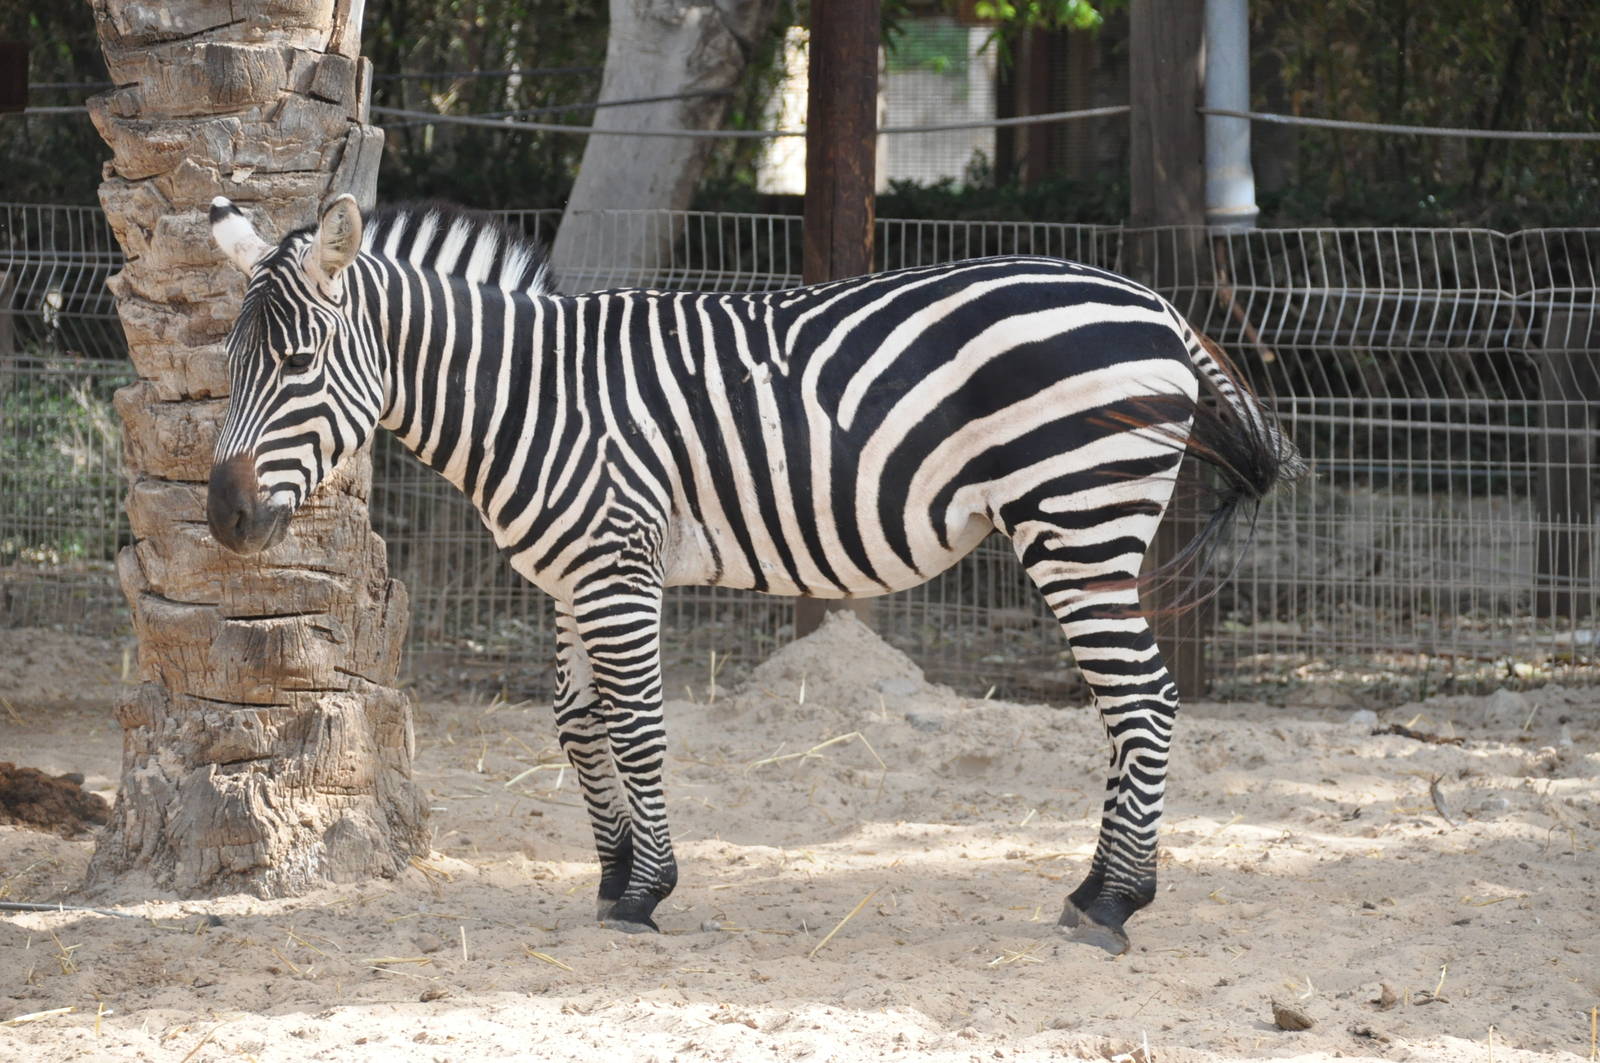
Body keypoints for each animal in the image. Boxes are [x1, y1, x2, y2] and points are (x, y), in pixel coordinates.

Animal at [205, 193, 1302, 954]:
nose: (222, 518)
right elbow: (579, 722)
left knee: (1144, 698)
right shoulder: (571, 572)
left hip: (1075, 519)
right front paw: (611, 877)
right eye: (227, 365)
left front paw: (646, 891)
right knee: (1127, 704)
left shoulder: (618, 562)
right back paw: (1096, 890)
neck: (532, 398)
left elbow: (637, 724)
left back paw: (1111, 901)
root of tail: (1154, 302)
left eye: (298, 364)